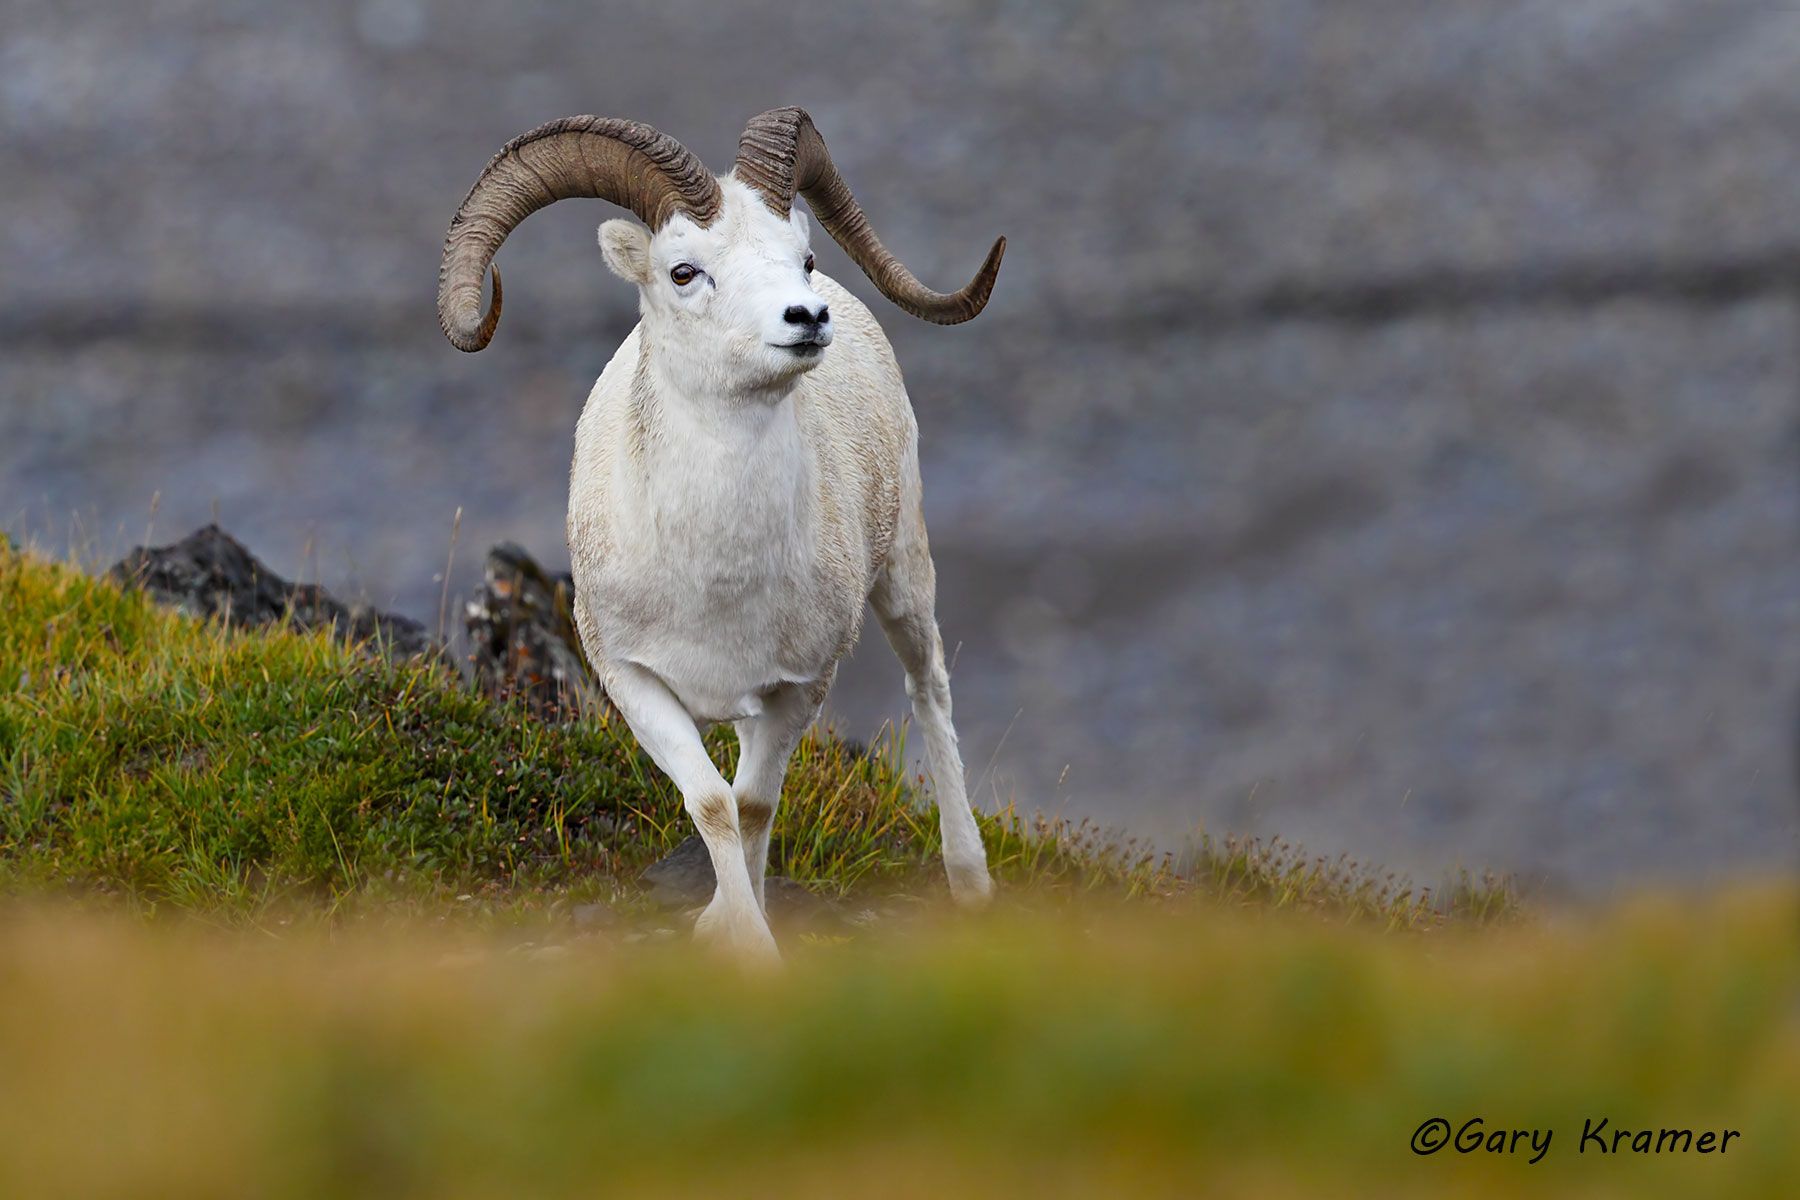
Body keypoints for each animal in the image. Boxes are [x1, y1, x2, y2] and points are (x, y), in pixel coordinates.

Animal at [437, 108, 1005, 960]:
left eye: (803, 257)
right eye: (683, 272)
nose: (807, 318)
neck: (713, 574)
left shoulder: (799, 686)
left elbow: (753, 806)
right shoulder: (633, 681)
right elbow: (713, 803)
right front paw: (734, 935)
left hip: (905, 573)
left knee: (927, 687)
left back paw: (972, 885)